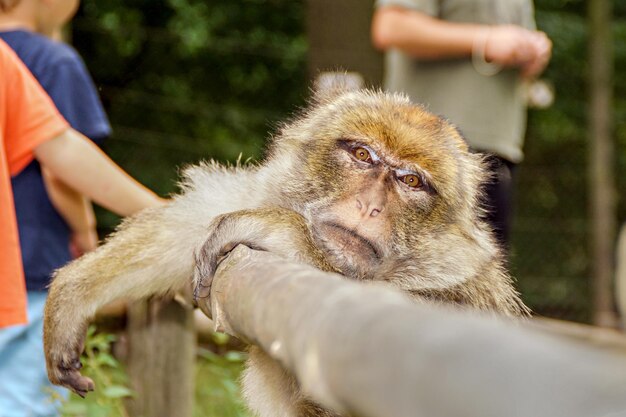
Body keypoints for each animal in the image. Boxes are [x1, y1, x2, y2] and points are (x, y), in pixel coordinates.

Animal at [44, 88, 528, 416]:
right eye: (363, 155)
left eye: (411, 181)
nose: (369, 206)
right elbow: (191, 224)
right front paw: (74, 292)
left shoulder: (457, 299)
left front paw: (285, 233)